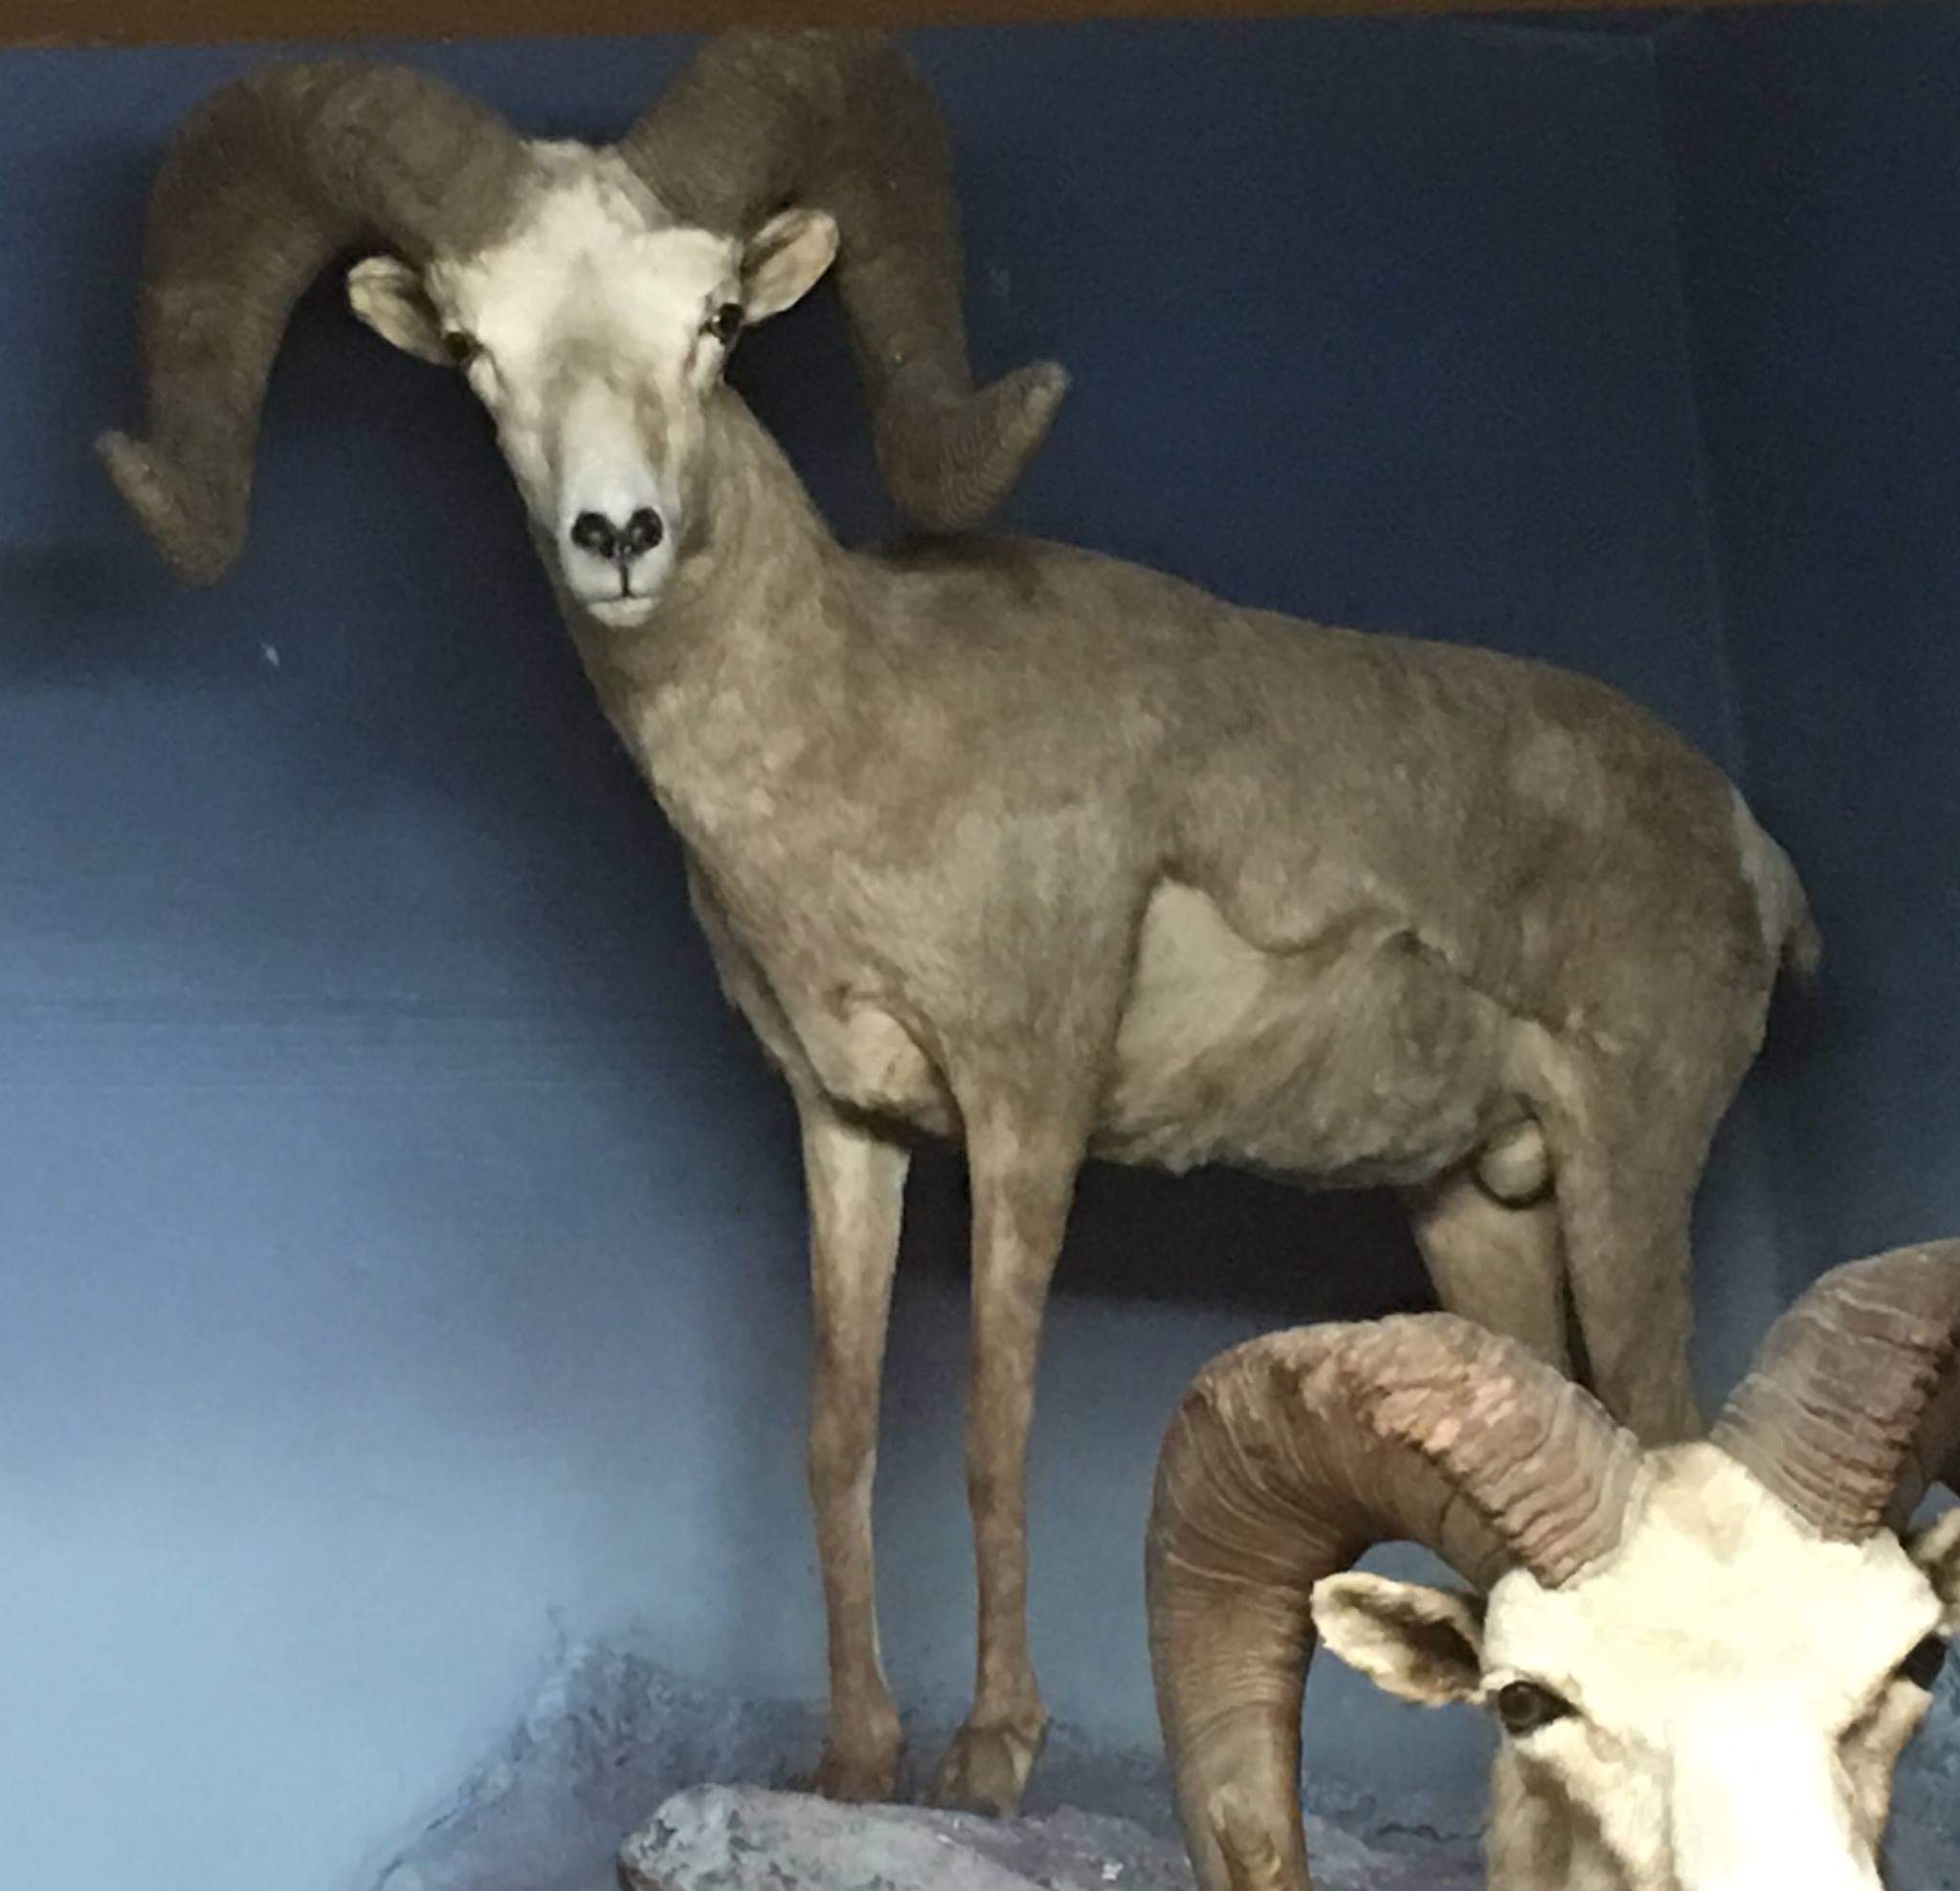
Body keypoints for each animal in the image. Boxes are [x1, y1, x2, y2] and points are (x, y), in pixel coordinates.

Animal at [99, 31, 1819, 1817]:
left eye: (714, 318)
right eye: (475, 347)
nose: (618, 539)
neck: (862, 734)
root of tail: (1746, 846)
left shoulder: (1026, 1108)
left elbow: (995, 1421)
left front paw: (989, 1755)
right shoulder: (848, 1129)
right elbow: (839, 1428)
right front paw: (856, 1757)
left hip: (1626, 1169)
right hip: (1476, 1213)